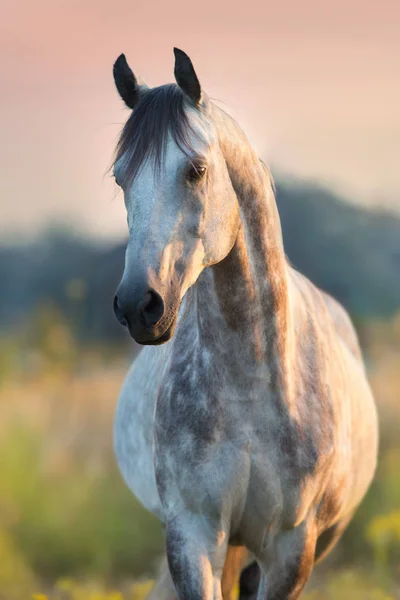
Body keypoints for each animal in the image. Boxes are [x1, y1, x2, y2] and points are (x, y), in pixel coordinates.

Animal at [109, 48, 378, 600]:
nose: (138, 305)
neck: (250, 384)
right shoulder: (192, 535)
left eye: (195, 170)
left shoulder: (290, 549)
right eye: (120, 177)